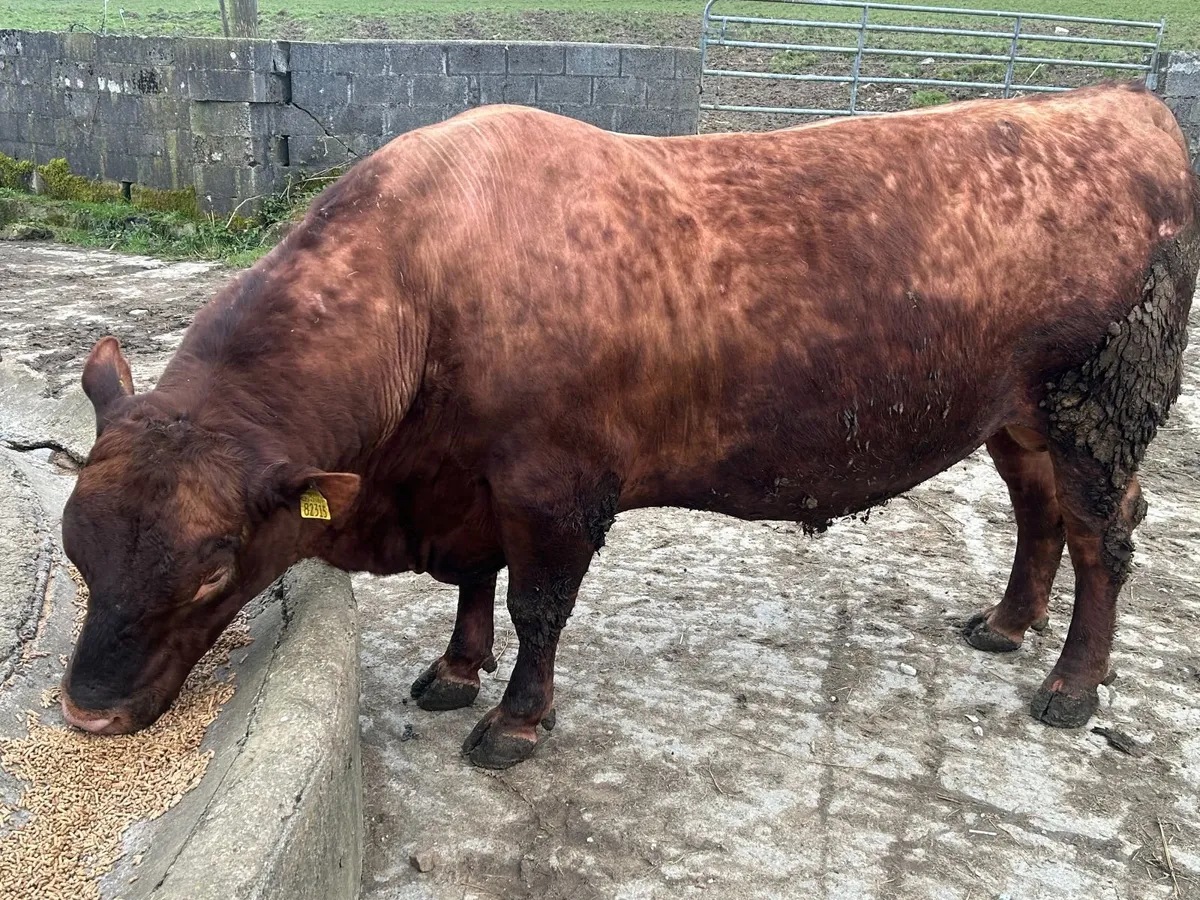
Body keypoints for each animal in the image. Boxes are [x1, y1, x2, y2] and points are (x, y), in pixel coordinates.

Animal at [58, 83, 1199, 769]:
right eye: (77, 552)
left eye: (213, 568)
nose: (84, 712)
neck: (428, 283)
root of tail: (1118, 102)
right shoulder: (470, 485)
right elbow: (475, 587)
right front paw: (456, 671)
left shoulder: (555, 489)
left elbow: (536, 607)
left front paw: (516, 720)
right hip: (1022, 418)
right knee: (1040, 515)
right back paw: (1006, 625)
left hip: (1100, 410)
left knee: (1104, 538)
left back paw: (1071, 684)